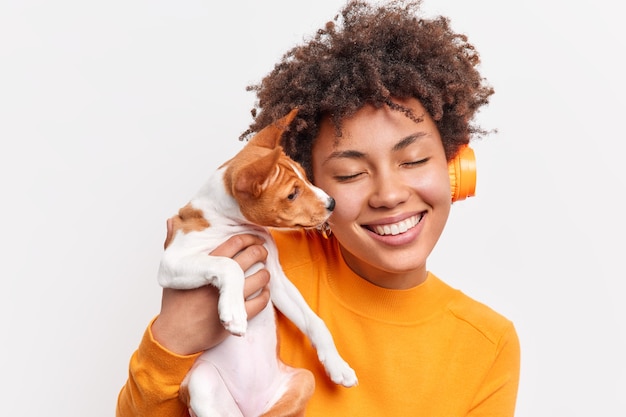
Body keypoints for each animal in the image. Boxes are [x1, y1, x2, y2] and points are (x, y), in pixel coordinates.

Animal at [156, 109, 356, 416]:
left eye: (306, 177)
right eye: (292, 194)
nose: (332, 203)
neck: (229, 222)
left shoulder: (276, 279)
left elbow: (315, 321)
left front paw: (337, 364)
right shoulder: (172, 262)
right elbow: (229, 265)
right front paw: (234, 312)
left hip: (303, 380)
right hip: (202, 381)